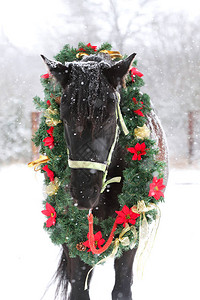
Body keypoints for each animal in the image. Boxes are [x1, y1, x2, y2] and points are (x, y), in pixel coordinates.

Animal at [41, 53, 167, 300]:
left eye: (109, 119)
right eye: (64, 118)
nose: (83, 193)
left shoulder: (131, 229)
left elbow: (122, 288)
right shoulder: (73, 235)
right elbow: (78, 288)